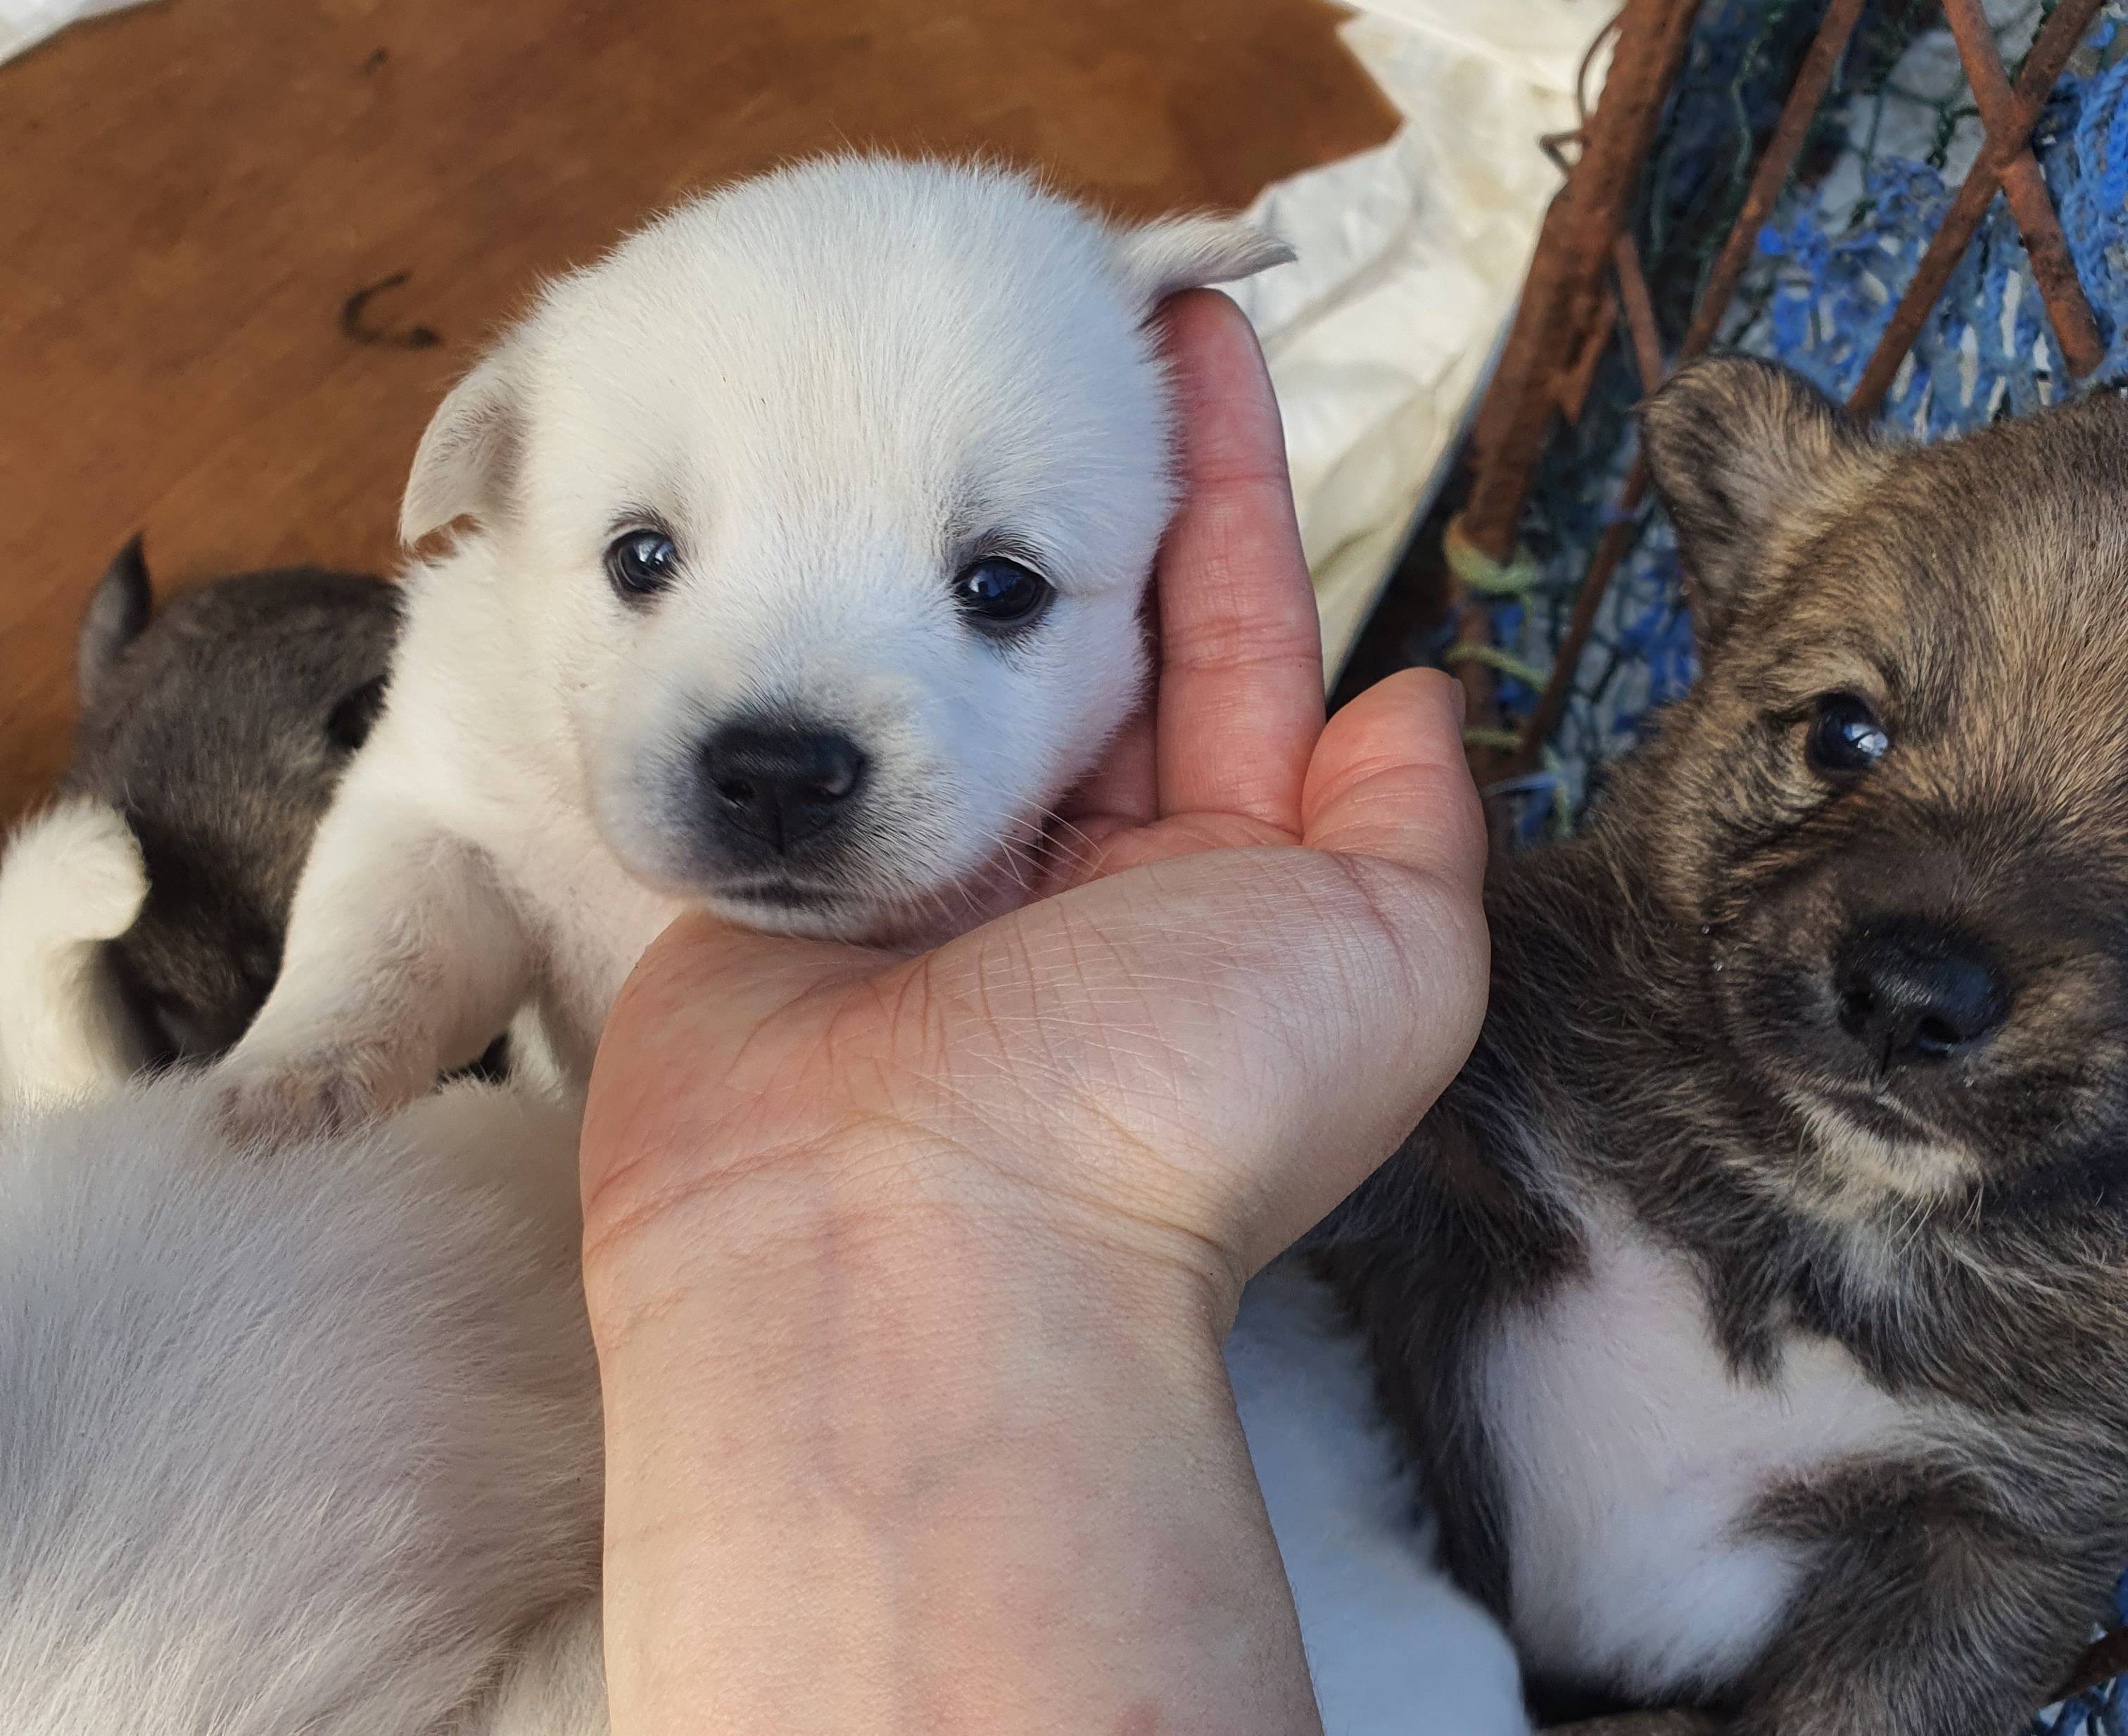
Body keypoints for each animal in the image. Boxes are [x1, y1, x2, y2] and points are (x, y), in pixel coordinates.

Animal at [215, 156, 1285, 1132]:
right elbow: (385, 933)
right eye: (640, 557)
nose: (778, 775)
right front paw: (289, 1088)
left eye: (1001, 585)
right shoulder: (443, 788)